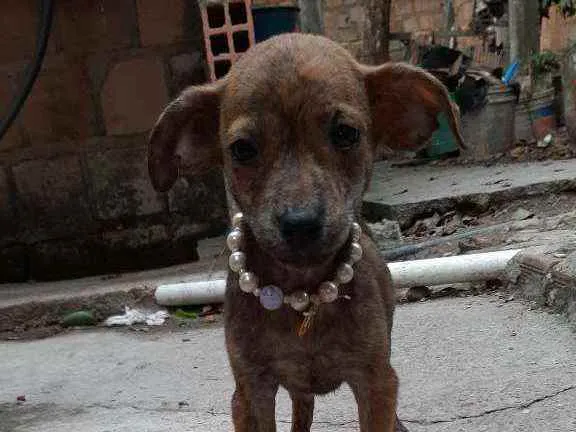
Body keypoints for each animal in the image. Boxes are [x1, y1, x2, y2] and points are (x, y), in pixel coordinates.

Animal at [148, 33, 464, 432]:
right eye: (242, 149)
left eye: (346, 134)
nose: (300, 223)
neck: (302, 294)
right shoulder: (250, 392)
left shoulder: (376, 382)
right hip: (297, 391)